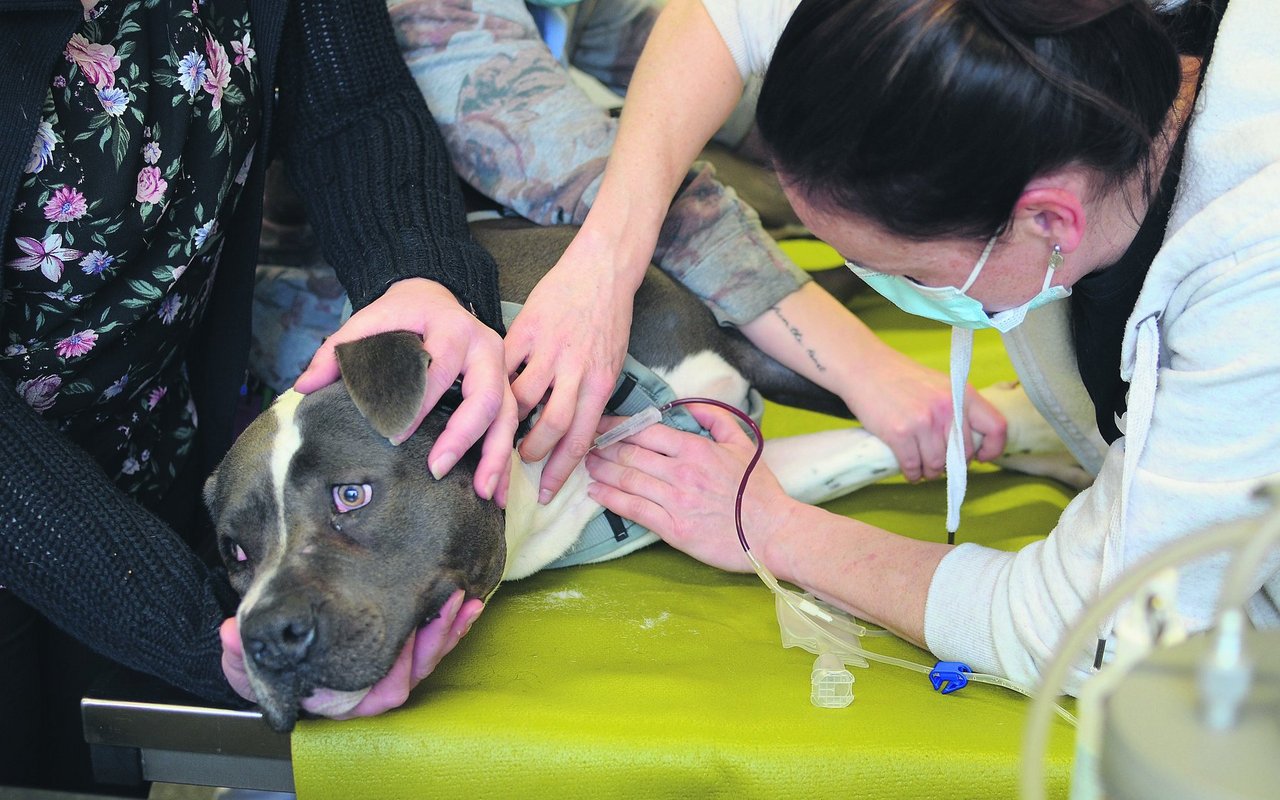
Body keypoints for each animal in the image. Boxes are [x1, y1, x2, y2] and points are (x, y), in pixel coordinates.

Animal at [204, 218, 1085, 732]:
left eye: (352, 494)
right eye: (234, 554)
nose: (266, 638)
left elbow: (933, 420)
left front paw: (1048, 428)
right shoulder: (735, 473)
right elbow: (866, 451)